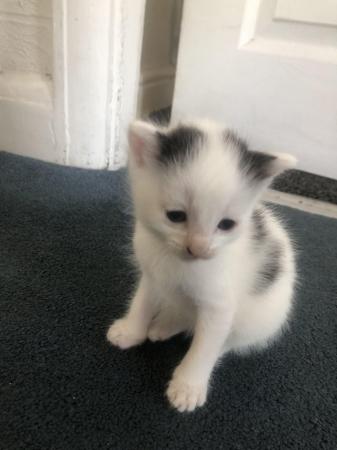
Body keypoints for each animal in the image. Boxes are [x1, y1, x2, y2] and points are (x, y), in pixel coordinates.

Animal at [106, 118, 296, 412]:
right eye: (176, 216)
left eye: (226, 224)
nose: (198, 249)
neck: (177, 263)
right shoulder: (152, 274)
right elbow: (142, 301)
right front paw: (131, 331)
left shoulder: (219, 306)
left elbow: (206, 345)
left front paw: (188, 386)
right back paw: (165, 325)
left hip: (261, 318)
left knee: (229, 340)